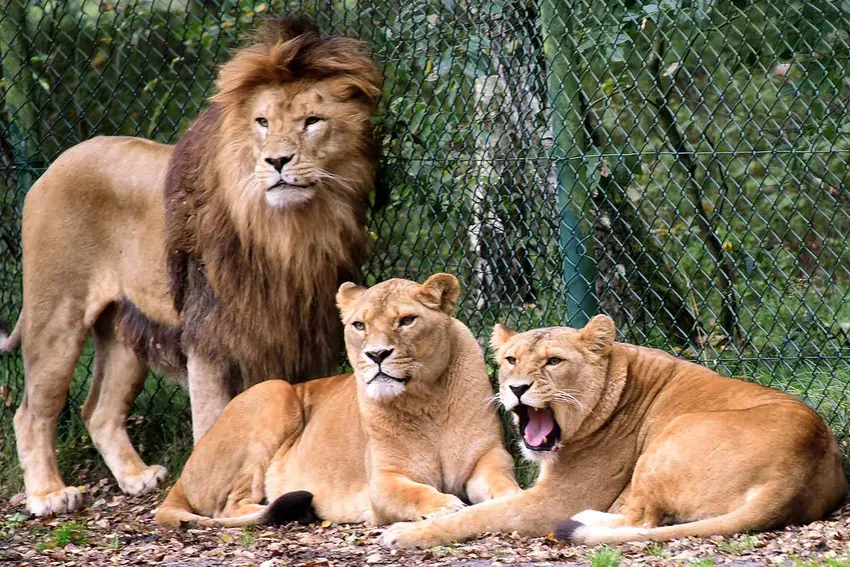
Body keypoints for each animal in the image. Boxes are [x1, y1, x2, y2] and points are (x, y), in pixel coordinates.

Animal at [1, 17, 383, 517]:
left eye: (312, 122)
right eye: (262, 122)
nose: (277, 161)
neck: (288, 232)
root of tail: (54, 164)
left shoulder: (294, 333)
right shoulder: (209, 335)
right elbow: (214, 420)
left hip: (125, 331)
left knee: (97, 411)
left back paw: (136, 477)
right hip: (57, 316)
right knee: (32, 412)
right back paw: (48, 494)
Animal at [153, 274, 520, 528]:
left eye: (406, 320)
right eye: (359, 325)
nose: (377, 355)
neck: (426, 399)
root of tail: (183, 474)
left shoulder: (488, 456)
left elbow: (501, 480)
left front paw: (513, 498)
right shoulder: (382, 480)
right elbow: (414, 493)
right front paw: (446, 506)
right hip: (274, 390)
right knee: (228, 507)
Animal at [382, 315, 847, 548]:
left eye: (553, 362)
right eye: (511, 360)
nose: (516, 388)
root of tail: (797, 467)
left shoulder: (554, 501)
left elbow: (479, 514)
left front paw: (406, 533)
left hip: (673, 432)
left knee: (643, 520)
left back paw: (584, 519)